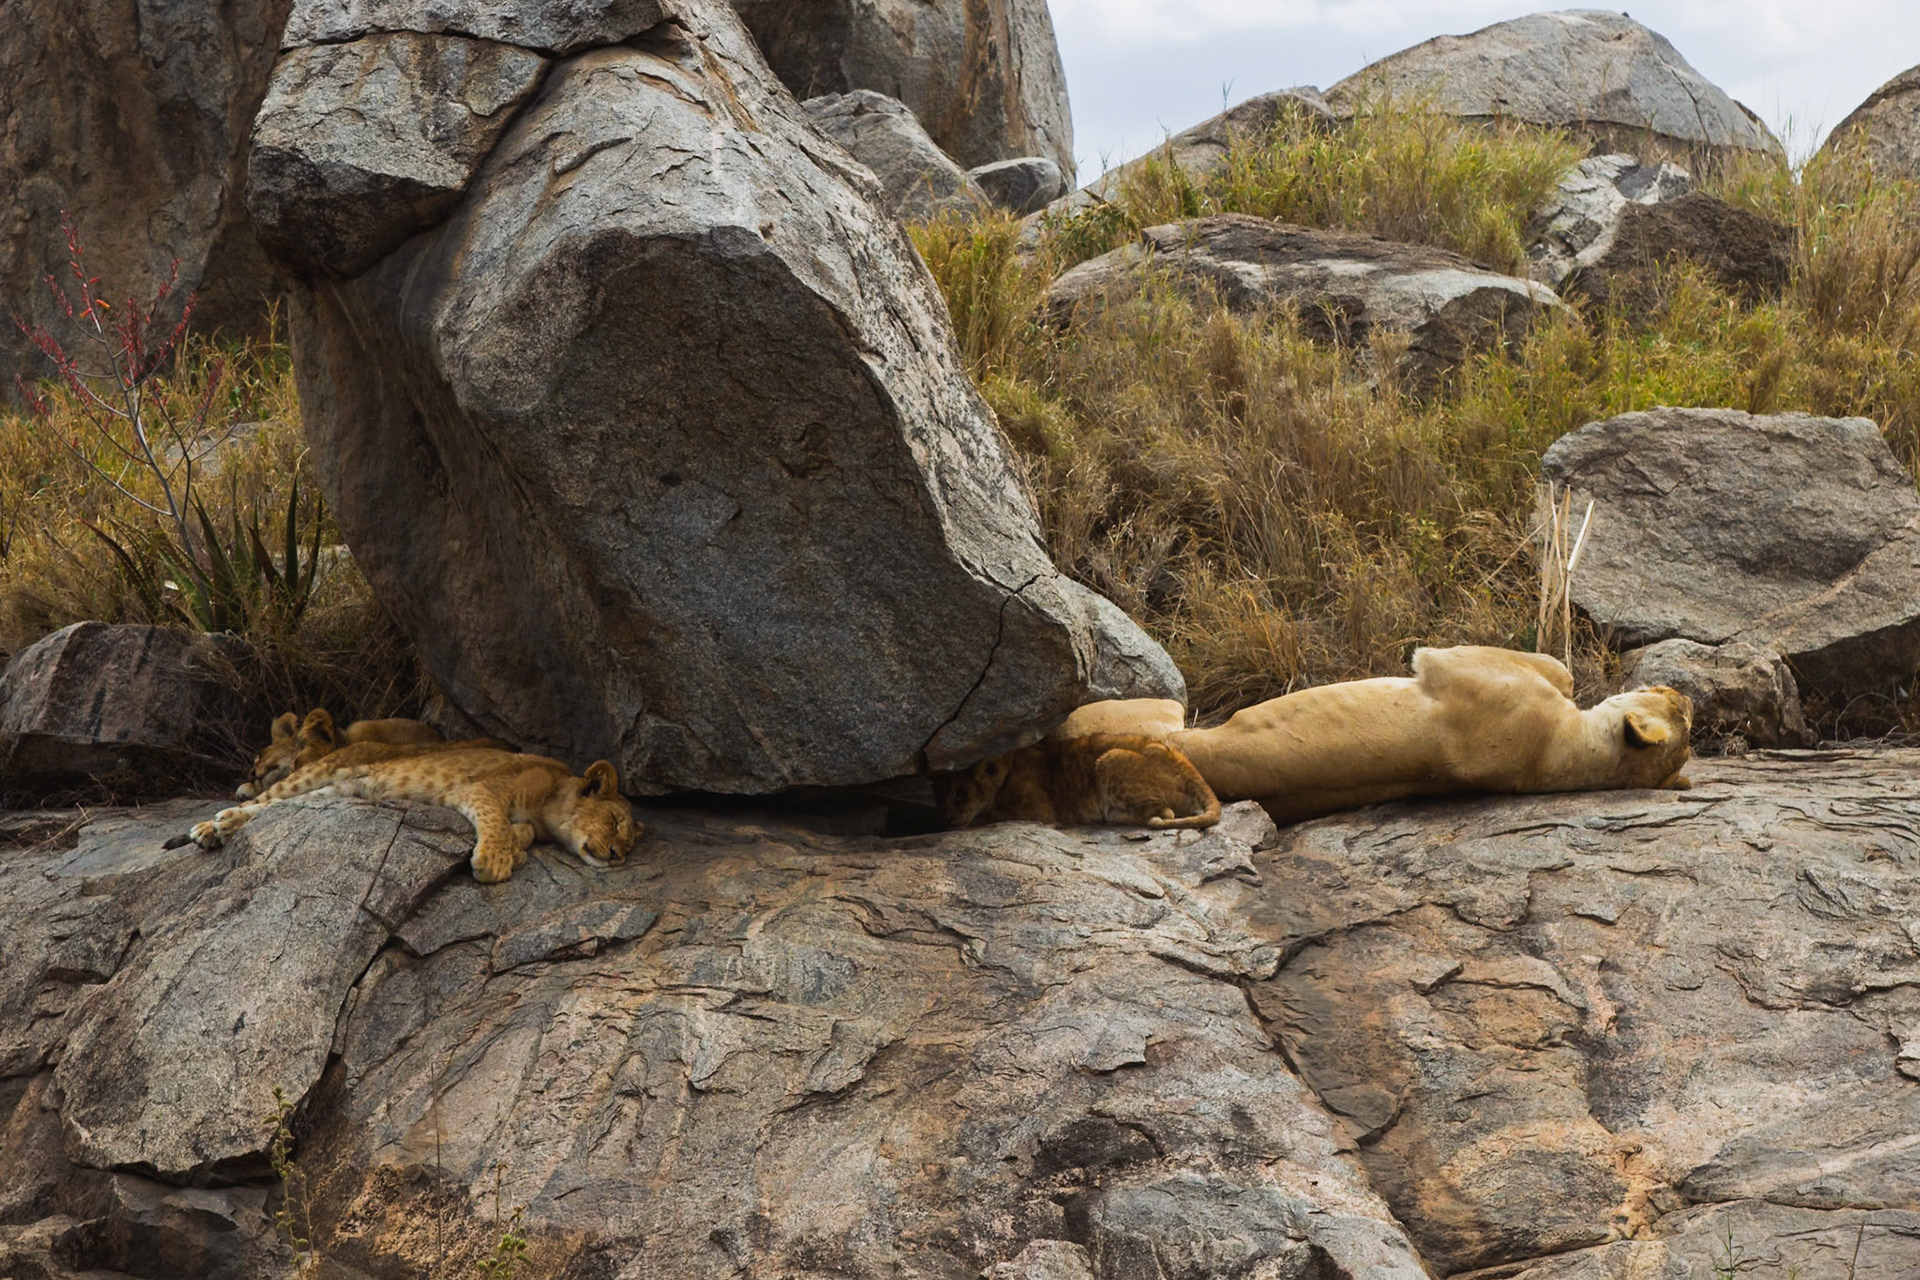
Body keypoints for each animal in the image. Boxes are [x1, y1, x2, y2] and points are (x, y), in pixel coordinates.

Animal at [178, 745, 639, 883]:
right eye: (615, 822)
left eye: (631, 843)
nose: (618, 857)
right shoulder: (479, 788)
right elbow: (495, 821)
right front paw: (495, 861)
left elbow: (516, 831)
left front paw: (516, 851)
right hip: (315, 773)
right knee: (262, 801)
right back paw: (211, 826)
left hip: (336, 789)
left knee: (279, 808)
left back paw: (221, 828)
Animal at [936, 732, 1221, 831]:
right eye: (940, 792)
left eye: (961, 793)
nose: (945, 818)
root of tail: (1185, 762)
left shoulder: (1039, 810)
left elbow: (989, 815)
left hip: (1110, 758)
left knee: (1165, 813)